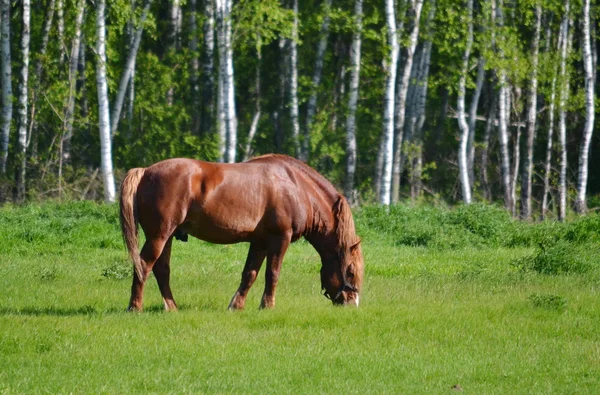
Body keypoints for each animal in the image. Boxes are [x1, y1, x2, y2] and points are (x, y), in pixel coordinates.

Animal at [117, 155, 360, 312]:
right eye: (350, 271)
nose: (352, 303)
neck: (296, 187)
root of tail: (146, 171)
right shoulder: (280, 238)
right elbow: (272, 274)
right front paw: (267, 306)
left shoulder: (260, 242)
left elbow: (249, 274)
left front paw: (237, 305)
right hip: (159, 236)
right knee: (143, 265)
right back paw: (134, 307)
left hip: (166, 237)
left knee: (161, 269)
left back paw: (171, 307)